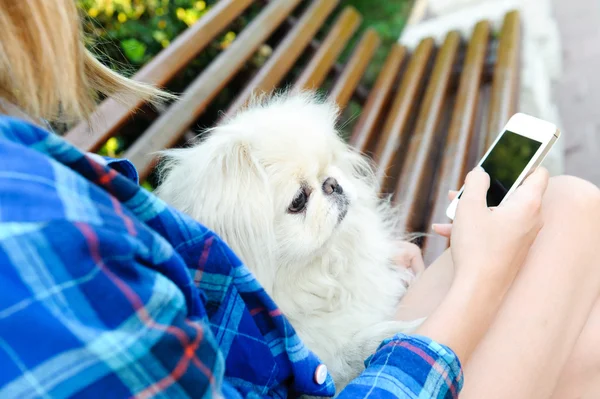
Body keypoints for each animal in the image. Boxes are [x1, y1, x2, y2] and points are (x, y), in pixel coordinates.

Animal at [157, 92, 424, 392]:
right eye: (298, 200)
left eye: (330, 165)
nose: (332, 184)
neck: (319, 272)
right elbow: (351, 353)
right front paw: (398, 331)